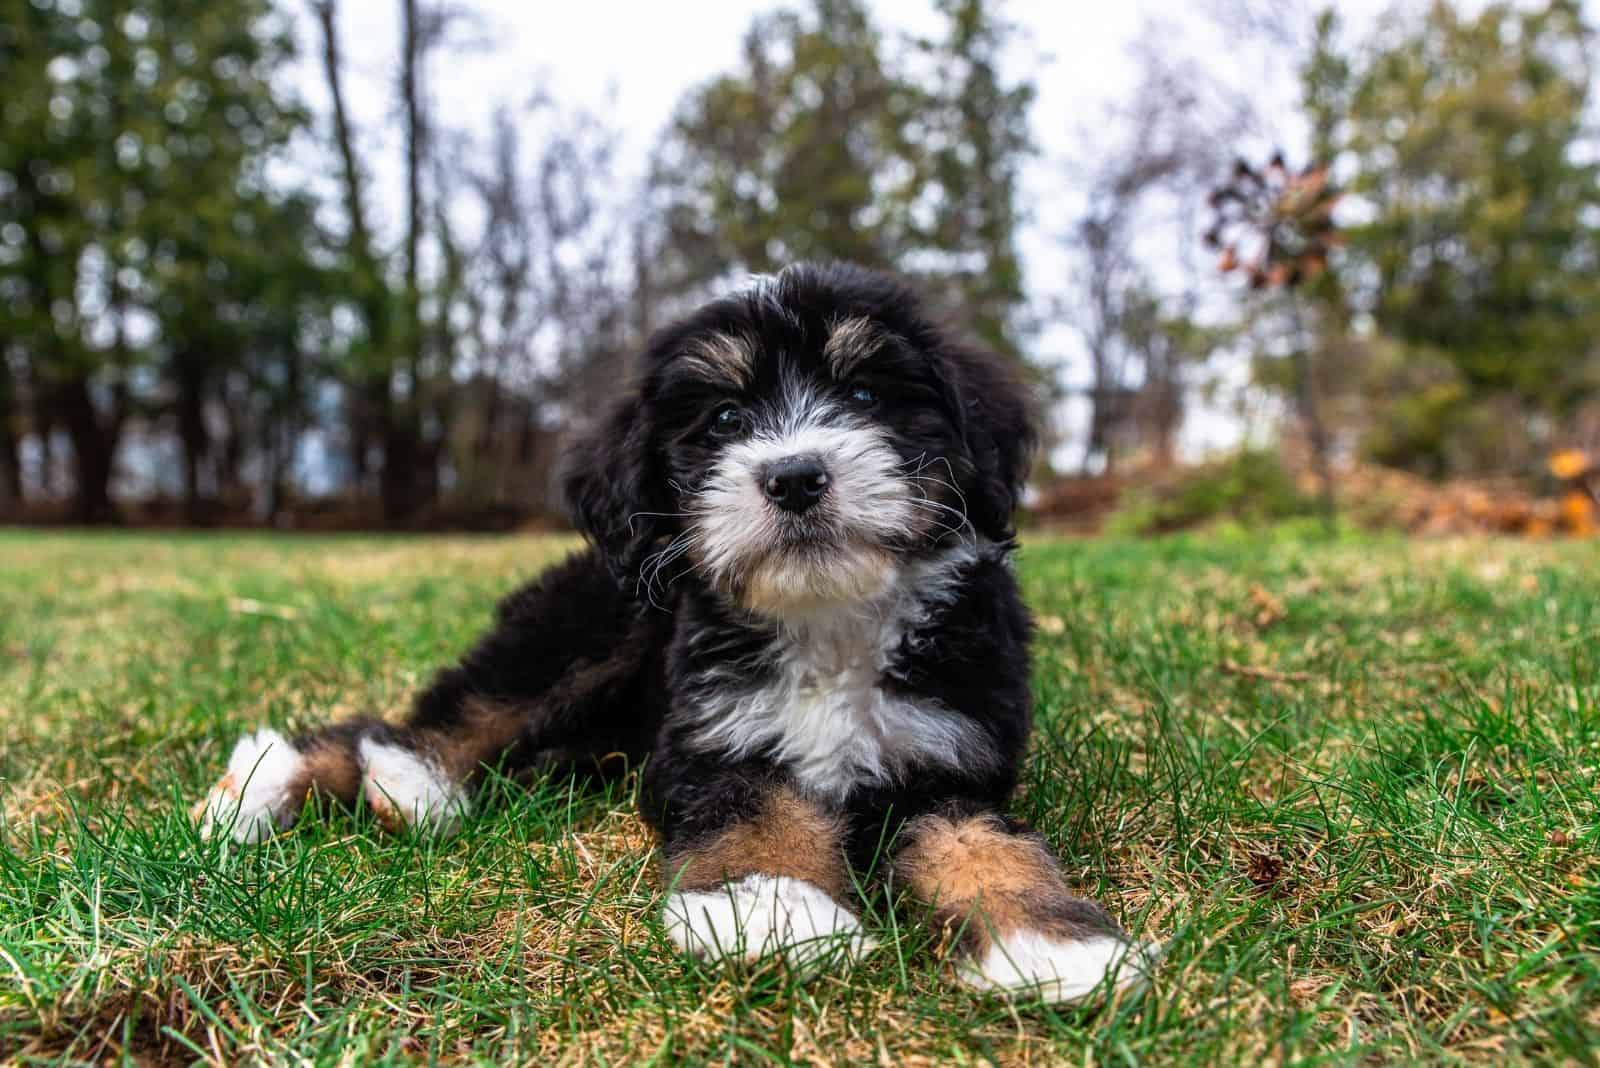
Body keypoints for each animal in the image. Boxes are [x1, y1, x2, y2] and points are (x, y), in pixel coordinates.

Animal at [196, 265, 1164, 1004]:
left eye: (864, 394)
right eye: (726, 420)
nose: (795, 476)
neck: (828, 620)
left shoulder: (950, 753)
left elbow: (982, 842)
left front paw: (1048, 941)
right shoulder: (708, 739)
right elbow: (756, 807)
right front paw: (772, 909)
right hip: (594, 622)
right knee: (435, 715)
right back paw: (320, 780)